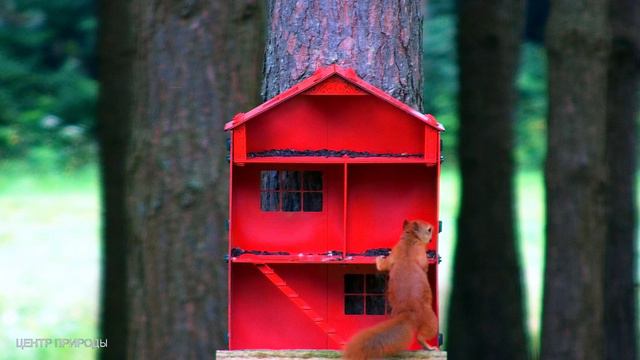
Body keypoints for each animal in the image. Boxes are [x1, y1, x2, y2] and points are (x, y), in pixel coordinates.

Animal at [342, 219, 438, 360]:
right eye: (429, 229)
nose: (433, 231)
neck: (409, 242)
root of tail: (408, 313)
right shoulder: (420, 254)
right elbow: (424, 266)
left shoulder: (393, 253)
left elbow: (383, 266)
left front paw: (379, 258)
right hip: (431, 321)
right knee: (422, 336)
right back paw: (429, 347)